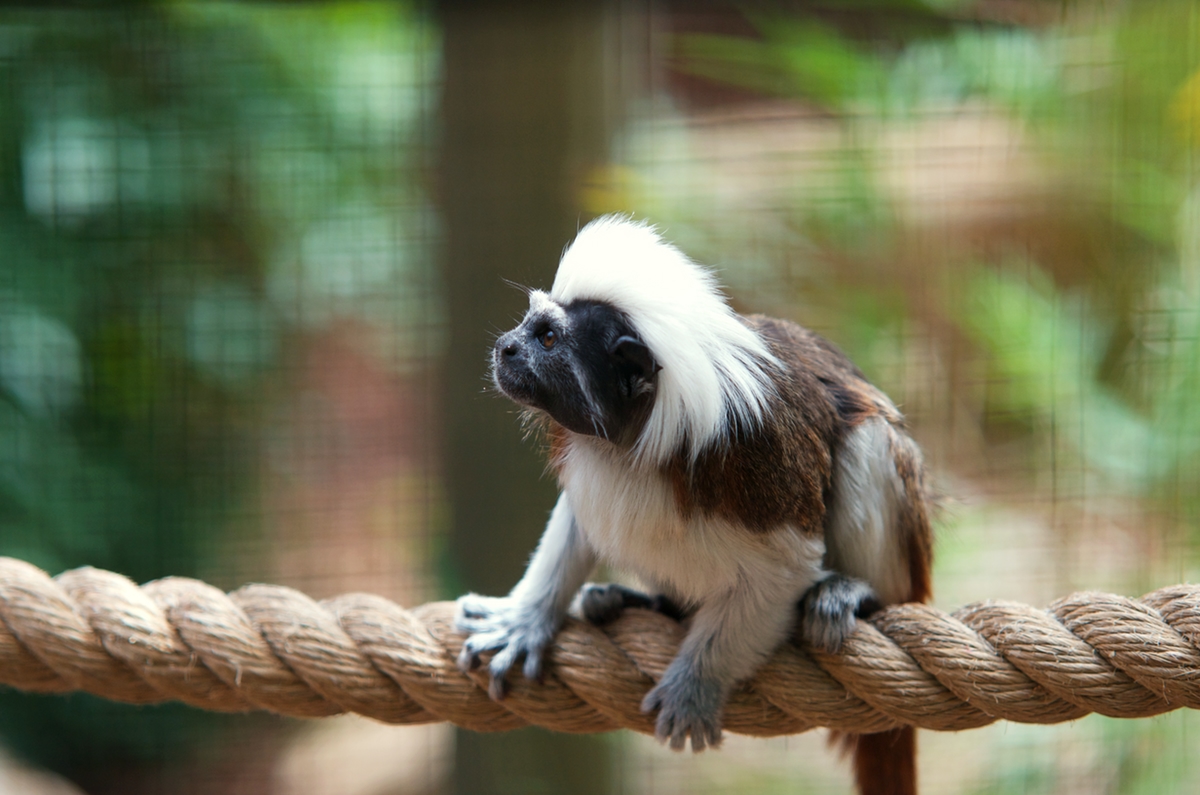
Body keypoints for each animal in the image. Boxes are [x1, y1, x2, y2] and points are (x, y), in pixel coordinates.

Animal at [455, 216, 932, 795]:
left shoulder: (761, 468)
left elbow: (783, 571)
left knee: (868, 439)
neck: (633, 444)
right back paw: (626, 601)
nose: (504, 347)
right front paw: (525, 621)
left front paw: (696, 684)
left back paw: (855, 592)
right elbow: (580, 520)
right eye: (528, 324)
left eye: (546, 338)